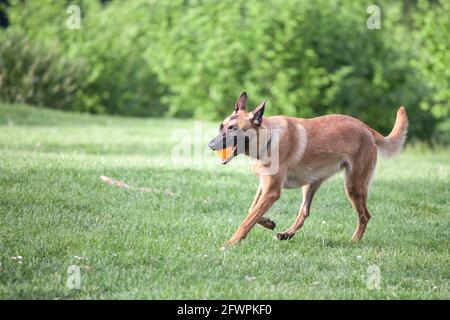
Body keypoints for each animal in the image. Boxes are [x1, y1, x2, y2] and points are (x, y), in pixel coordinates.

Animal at [207, 92, 408, 248]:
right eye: (221, 127)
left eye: (233, 129)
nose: (210, 145)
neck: (267, 138)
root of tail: (367, 128)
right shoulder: (264, 186)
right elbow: (252, 210)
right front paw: (268, 222)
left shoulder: (272, 191)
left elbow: (248, 220)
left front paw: (231, 242)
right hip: (311, 184)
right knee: (304, 212)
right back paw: (286, 234)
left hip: (354, 186)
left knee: (365, 215)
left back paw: (354, 241)